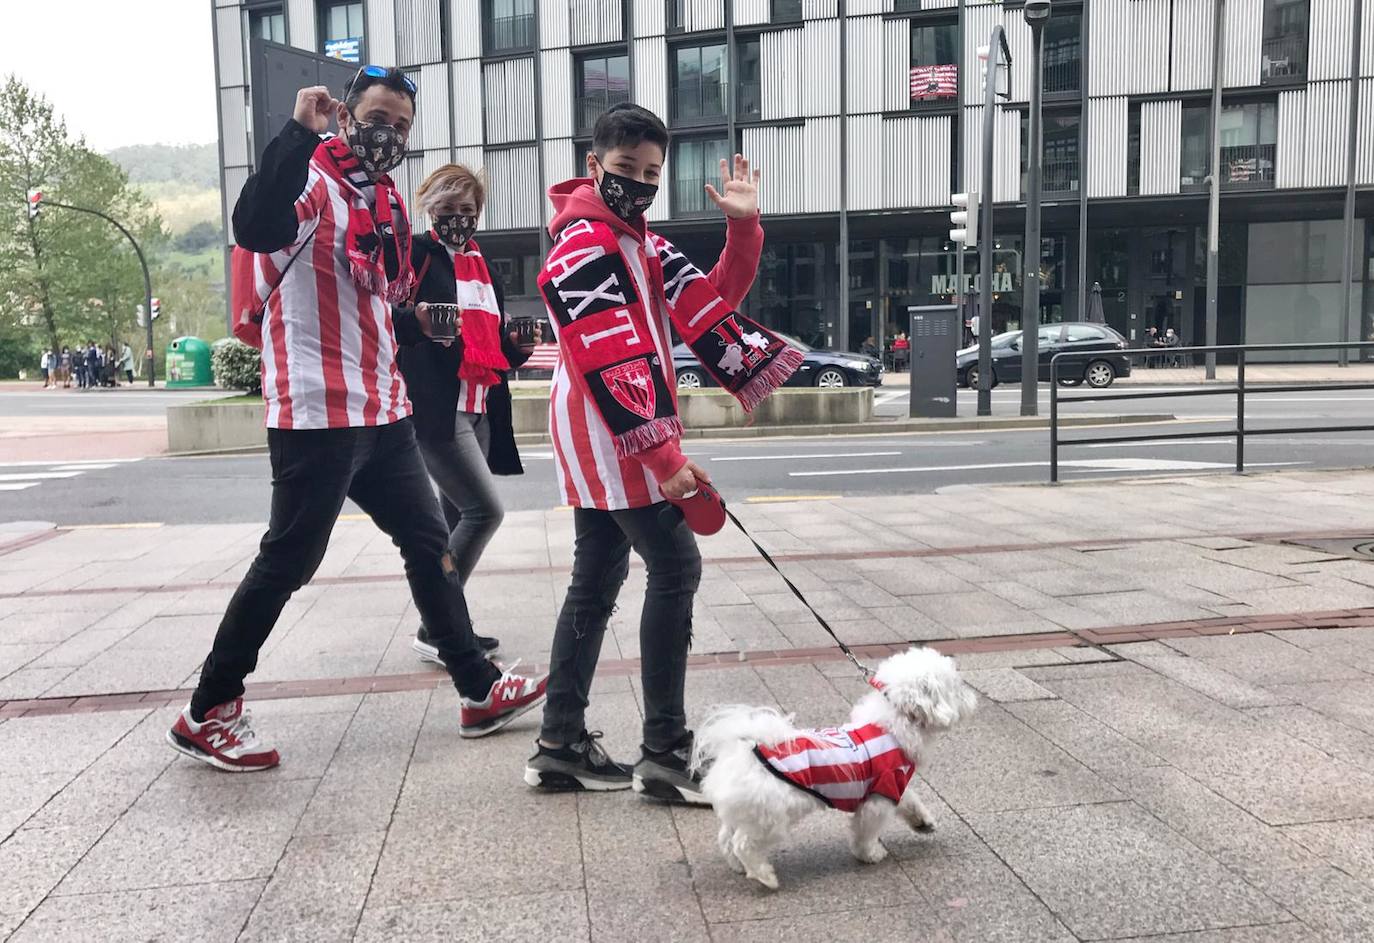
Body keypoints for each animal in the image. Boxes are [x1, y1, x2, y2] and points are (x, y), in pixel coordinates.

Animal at [697, 648, 978, 896]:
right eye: (956, 687)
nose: (973, 696)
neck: (894, 722)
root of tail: (745, 749)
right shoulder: (877, 798)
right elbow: (865, 831)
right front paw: (870, 854)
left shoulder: (891, 785)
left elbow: (911, 802)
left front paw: (923, 823)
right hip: (770, 818)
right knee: (743, 844)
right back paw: (764, 876)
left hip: (747, 811)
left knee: (726, 838)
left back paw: (738, 867)